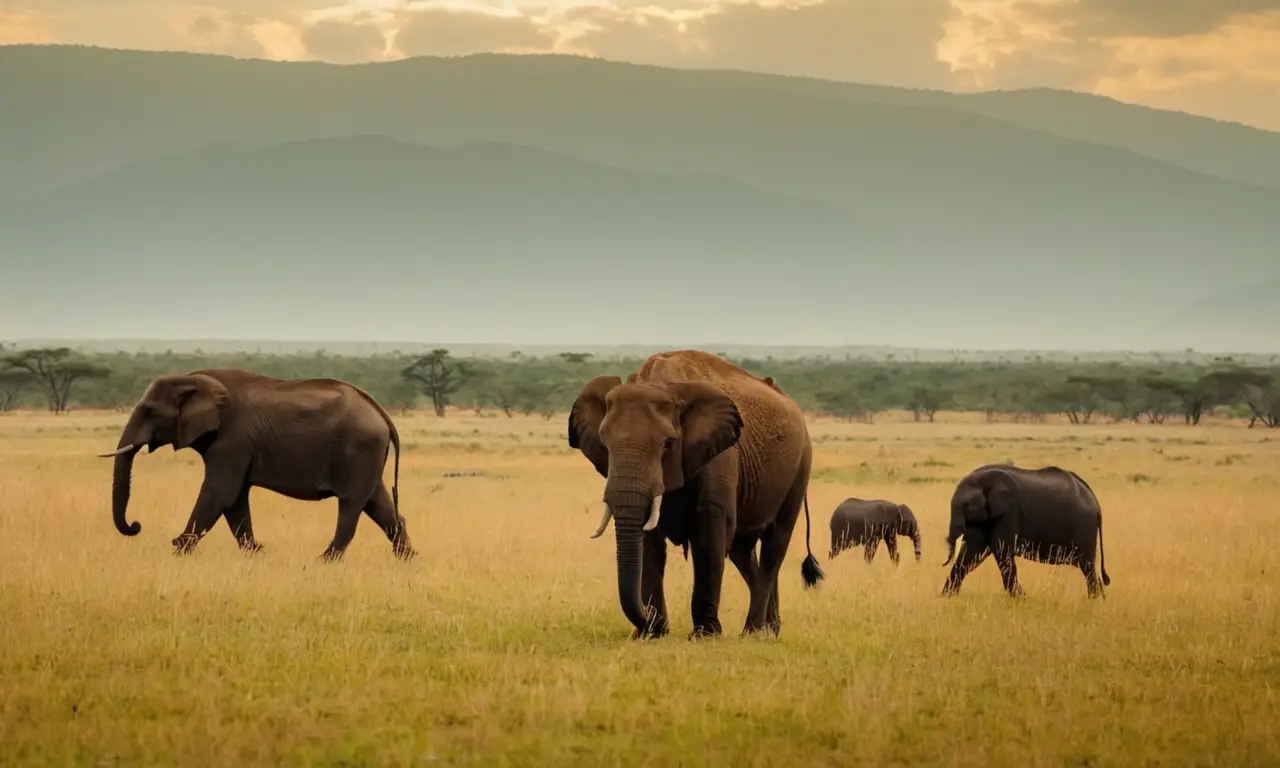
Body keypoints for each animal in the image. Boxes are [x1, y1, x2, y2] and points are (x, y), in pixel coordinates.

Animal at [97, 368, 412, 560]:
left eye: (150, 411)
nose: (136, 525)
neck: (195, 379)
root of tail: (382, 413)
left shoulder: (231, 442)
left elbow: (220, 492)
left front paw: (178, 549)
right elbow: (234, 500)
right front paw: (256, 553)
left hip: (358, 448)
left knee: (350, 506)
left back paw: (324, 561)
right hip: (366, 453)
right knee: (378, 504)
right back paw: (407, 559)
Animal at [568, 350, 824, 640]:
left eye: (667, 444)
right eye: (605, 443)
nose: (644, 621)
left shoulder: (720, 454)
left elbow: (710, 530)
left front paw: (704, 635)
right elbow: (648, 540)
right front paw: (653, 635)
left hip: (800, 467)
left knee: (774, 545)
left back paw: (752, 632)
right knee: (743, 553)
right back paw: (769, 631)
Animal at [942, 460, 1111, 599]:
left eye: (966, 505)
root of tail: (1095, 502)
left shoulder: (1009, 511)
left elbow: (1002, 552)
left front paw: (1020, 599)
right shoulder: (985, 519)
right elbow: (972, 552)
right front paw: (947, 597)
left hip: (1085, 528)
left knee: (1087, 567)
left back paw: (1093, 600)